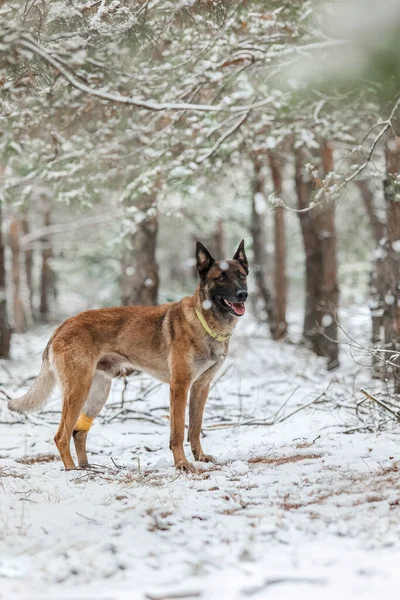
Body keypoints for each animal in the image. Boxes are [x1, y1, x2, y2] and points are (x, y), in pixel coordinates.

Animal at [7, 241, 248, 472]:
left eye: (242, 275)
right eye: (221, 277)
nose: (243, 294)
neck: (205, 322)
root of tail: (62, 326)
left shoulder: (201, 387)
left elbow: (195, 428)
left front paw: (200, 457)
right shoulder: (179, 387)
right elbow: (179, 432)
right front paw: (182, 464)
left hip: (98, 393)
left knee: (78, 432)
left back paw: (88, 467)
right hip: (78, 391)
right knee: (61, 436)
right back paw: (72, 471)